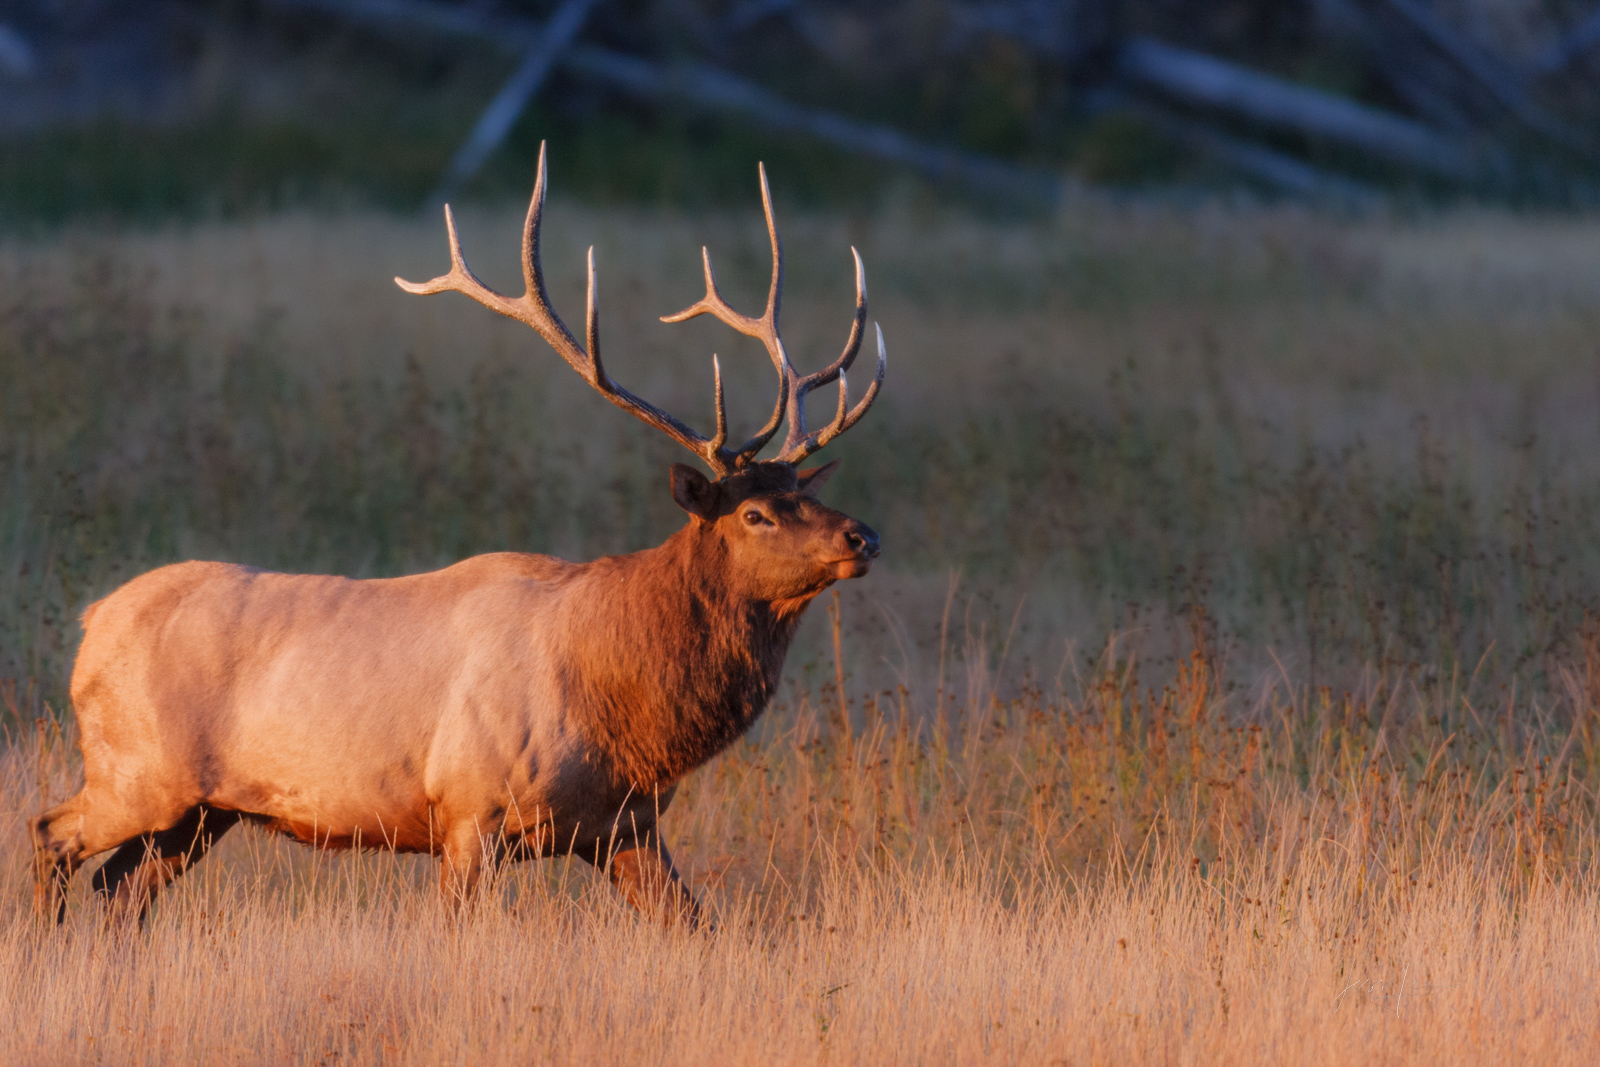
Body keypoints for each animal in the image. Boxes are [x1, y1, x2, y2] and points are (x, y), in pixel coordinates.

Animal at [31, 146, 889, 927]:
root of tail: (91, 622)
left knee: (119, 891)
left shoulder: (626, 826)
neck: (624, 705)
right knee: (49, 834)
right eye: (755, 513)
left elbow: (697, 926)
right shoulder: (471, 810)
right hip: (134, 769)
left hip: (200, 809)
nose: (864, 535)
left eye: (803, 492)